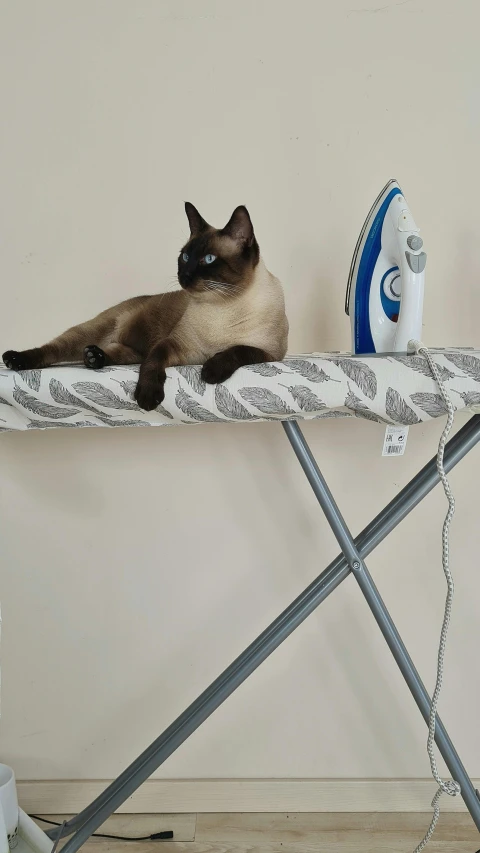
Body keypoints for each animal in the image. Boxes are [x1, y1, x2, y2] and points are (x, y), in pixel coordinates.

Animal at [1, 203, 288, 410]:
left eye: (208, 259)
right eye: (185, 256)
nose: (184, 276)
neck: (221, 307)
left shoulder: (269, 354)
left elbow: (237, 350)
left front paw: (211, 372)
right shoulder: (175, 347)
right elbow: (152, 363)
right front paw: (148, 397)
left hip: (127, 350)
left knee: (123, 353)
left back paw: (94, 357)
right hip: (90, 331)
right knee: (51, 351)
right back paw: (15, 359)